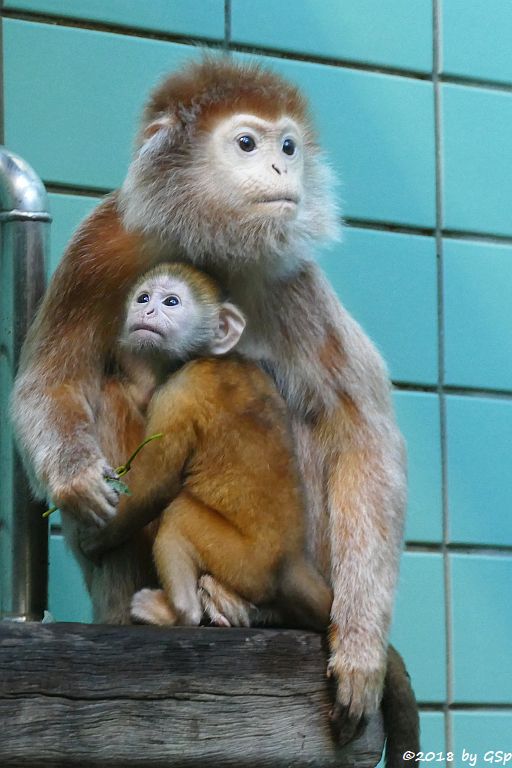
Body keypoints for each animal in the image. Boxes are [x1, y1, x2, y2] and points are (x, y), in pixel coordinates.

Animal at [81, 264, 332, 632]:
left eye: (171, 302)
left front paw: (99, 537)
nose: (147, 311)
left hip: (240, 562)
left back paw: (179, 612)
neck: (209, 357)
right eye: (143, 297)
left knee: (179, 514)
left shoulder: (180, 392)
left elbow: (155, 484)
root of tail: (291, 561)